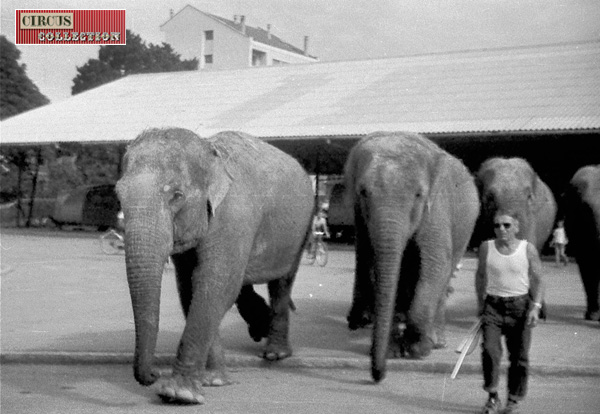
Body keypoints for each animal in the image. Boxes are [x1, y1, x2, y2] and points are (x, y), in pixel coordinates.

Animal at [115, 129, 316, 404]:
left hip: (301, 229)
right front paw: (214, 381)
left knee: (282, 284)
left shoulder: (234, 217)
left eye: (176, 196)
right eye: (118, 195)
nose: (154, 373)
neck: (209, 150)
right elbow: (190, 288)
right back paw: (259, 326)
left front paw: (178, 394)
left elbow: (213, 284)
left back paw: (275, 353)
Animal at [344, 132, 480, 382]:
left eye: (419, 195)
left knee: (445, 273)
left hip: (465, 231)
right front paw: (394, 351)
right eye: (363, 192)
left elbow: (436, 263)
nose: (378, 376)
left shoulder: (437, 209)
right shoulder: (360, 216)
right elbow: (372, 258)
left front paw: (418, 350)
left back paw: (438, 342)